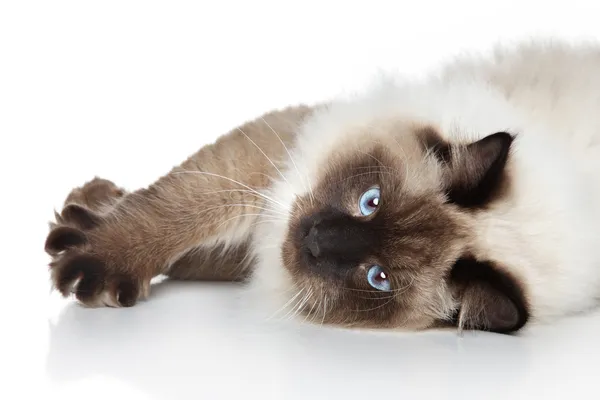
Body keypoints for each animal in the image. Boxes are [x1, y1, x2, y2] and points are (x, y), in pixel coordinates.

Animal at [44, 39, 600, 334]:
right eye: (371, 202)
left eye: (378, 277)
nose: (313, 239)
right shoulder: (272, 165)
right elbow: (179, 211)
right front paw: (90, 231)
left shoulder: (265, 237)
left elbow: (194, 246)